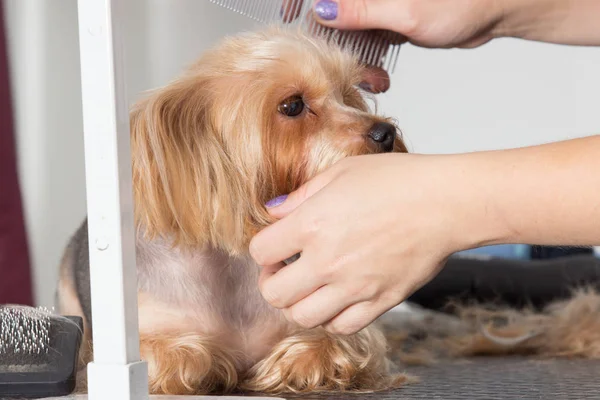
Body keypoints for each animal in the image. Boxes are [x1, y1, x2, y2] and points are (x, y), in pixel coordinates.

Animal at [57, 27, 408, 394]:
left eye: (347, 96)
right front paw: (217, 365)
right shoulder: (146, 337)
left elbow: (331, 346)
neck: (233, 268)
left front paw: (286, 365)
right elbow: (179, 356)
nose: (386, 133)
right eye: (292, 105)